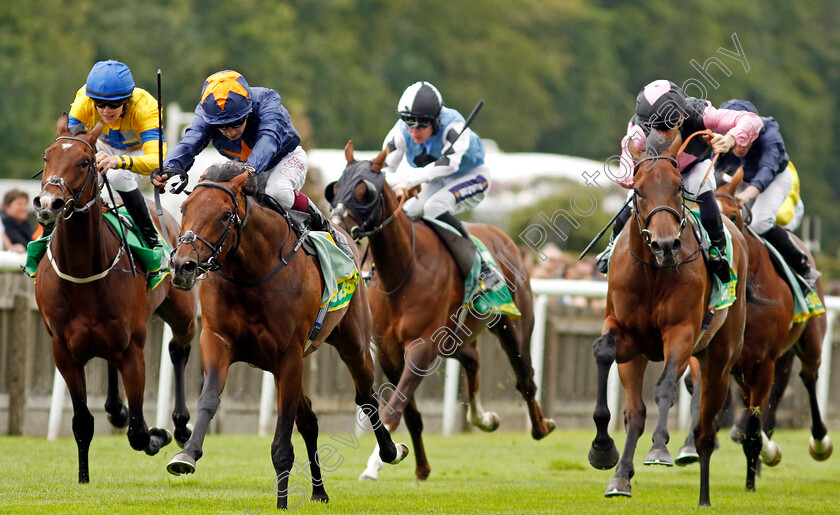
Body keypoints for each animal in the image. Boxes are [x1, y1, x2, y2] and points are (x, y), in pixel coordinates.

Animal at [33, 113, 198, 484]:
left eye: (84, 162)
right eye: (47, 156)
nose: (48, 204)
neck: (82, 272)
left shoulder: (132, 349)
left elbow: (138, 432)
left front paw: (158, 435)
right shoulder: (63, 352)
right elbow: (82, 422)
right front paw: (83, 478)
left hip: (182, 311)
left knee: (178, 351)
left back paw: (181, 426)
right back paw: (117, 409)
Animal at [163, 163, 406, 510]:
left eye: (225, 215)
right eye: (184, 208)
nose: (183, 265)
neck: (251, 275)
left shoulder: (289, 356)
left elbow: (282, 438)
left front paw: (282, 503)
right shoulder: (217, 340)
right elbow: (209, 397)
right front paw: (187, 454)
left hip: (354, 345)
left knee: (365, 397)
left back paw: (389, 451)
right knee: (310, 420)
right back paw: (319, 491)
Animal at [324, 142, 556, 484]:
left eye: (365, 191)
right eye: (336, 187)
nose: (337, 224)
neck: (402, 273)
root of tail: (503, 237)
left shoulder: (422, 347)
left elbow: (395, 407)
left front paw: (377, 462)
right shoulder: (389, 352)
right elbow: (411, 413)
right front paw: (420, 467)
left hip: (512, 326)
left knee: (525, 378)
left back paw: (541, 426)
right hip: (453, 339)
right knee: (473, 359)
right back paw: (482, 417)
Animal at [588, 134, 752, 508]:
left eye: (678, 187)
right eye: (638, 190)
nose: (665, 245)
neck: (653, 272)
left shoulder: (681, 333)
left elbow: (664, 388)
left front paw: (660, 447)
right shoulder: (626, 337)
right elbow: (604, 354)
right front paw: (604, 451)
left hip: (719, 360)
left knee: (705, 427)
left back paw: (703, 494)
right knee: (636, 413)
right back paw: (622, 474)